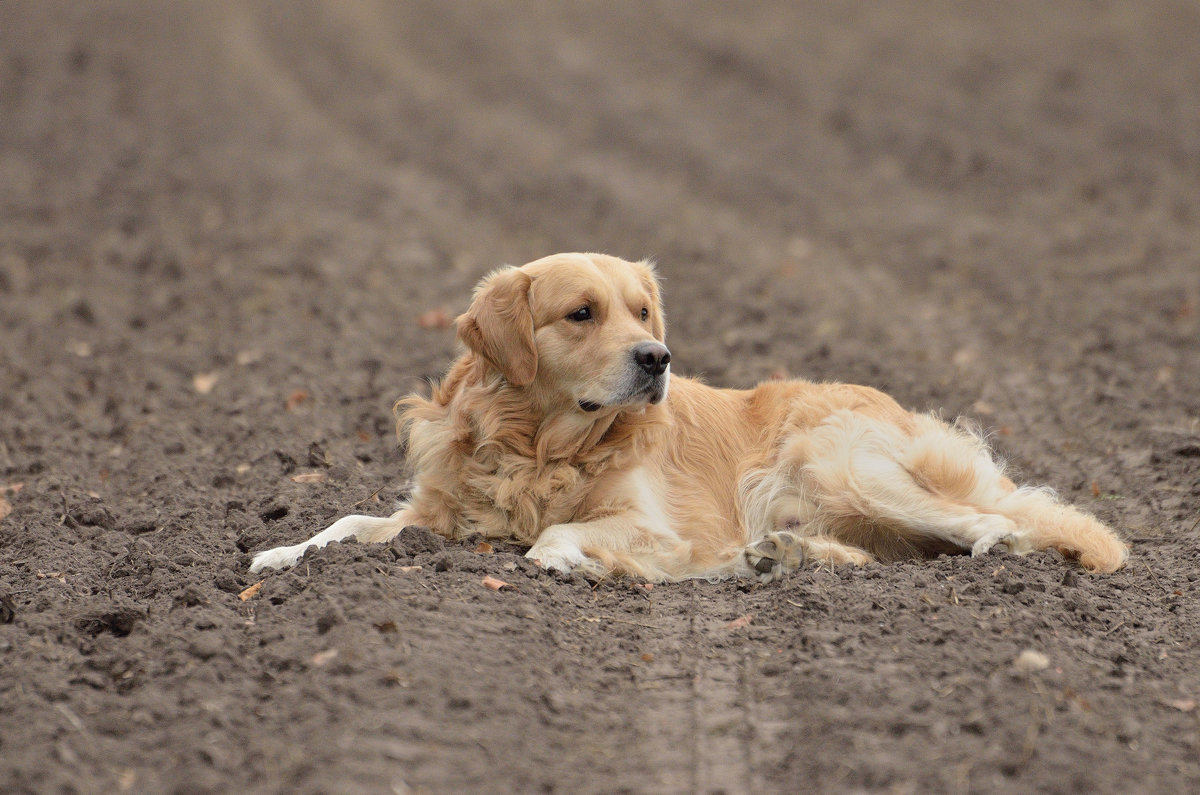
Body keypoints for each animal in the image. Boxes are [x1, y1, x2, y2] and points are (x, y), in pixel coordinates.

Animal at [248, 252, 1128, 583]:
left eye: (643, 311)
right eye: (581, 313)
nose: (657, 357)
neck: (539, 443)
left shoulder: (661, 527)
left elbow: (555, 533)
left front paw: (574, 563)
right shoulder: (436, 511)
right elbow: (348, 522)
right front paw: (282, 552)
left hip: (834, 459)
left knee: (994, 521)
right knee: (880, 550)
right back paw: (781, 554)